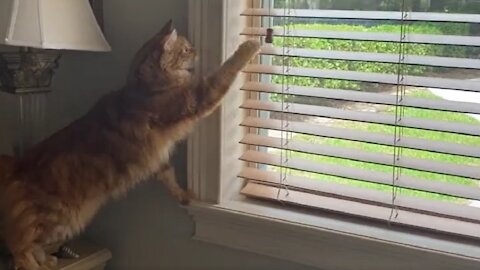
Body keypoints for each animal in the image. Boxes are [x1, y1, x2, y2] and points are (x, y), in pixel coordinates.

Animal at [0, 19, 260, 270]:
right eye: (186, 49)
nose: (196, 50)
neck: (143, 86)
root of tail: (17, 164)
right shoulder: (195, 98)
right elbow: (225, 72)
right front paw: (249, 46)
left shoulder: (157, 158)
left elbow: (169, 177)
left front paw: (184, 197)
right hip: (58, 218)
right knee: (19, 249)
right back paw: (37, 265)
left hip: (61, 225)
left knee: (28, 246)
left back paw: (46, 261)